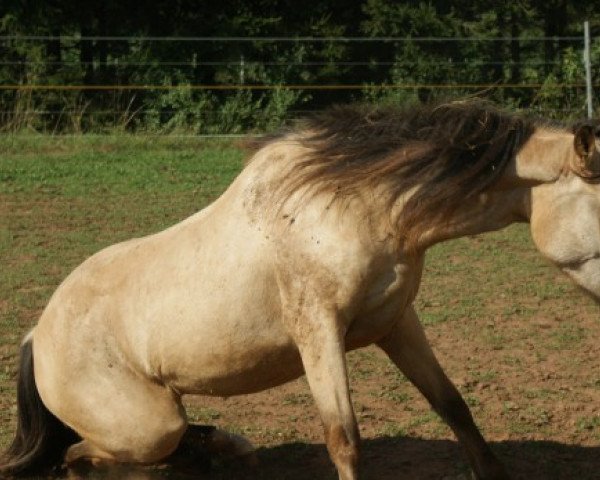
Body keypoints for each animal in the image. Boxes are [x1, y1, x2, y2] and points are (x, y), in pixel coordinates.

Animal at [1, 99, 600, 478]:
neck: (353, 206)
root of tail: (36, 336)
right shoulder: (318, 331)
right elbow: (344, 439)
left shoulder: (396, 323)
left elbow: (453, 405)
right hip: (148, 426)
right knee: (80, 455)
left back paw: (225, 448)